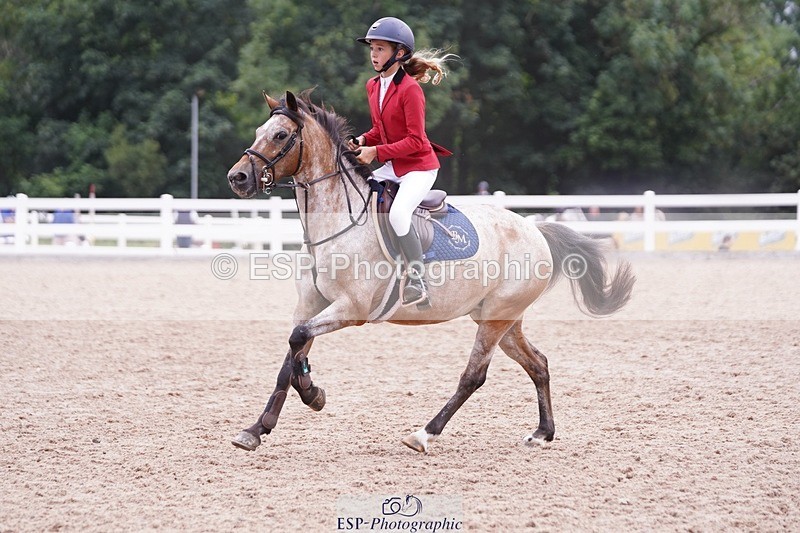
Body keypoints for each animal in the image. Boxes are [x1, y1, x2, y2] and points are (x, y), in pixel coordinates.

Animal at [226, 90, 635, 453]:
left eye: (280, 135)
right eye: (258, 132)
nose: (238, 177)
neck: (337, 224)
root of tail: (535, 230)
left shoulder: (351, 309)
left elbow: (297, 341)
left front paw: (313, 395)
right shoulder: (312, 305)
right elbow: (291, 354)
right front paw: (258, 428)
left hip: (495, 320)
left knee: (474, 376)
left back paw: (424, 434)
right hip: (501, 319)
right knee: (539, 364)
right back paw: (542, 433)